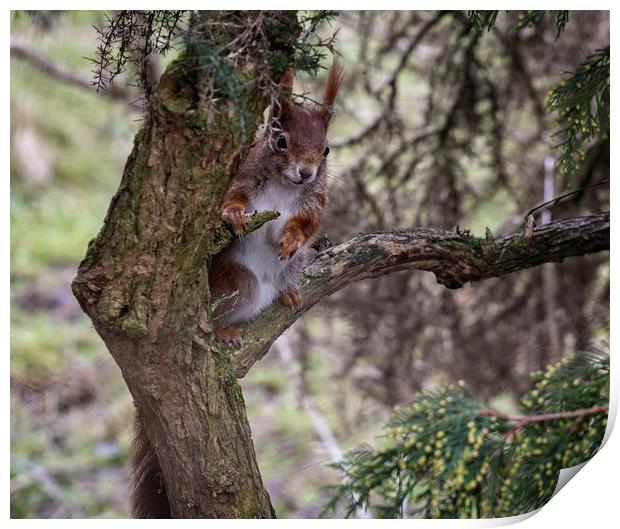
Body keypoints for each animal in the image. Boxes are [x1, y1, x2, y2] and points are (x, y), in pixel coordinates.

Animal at [208, 59, 344, 344]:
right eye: (281, 140)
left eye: (326, 150)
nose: (306, 172)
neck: (284, 186)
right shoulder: (243, 177)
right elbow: (232, 197)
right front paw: (234, 213)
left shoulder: (316, 200)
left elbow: (307, 224)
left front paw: (292, 238)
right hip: (235, 281)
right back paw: (223, 330)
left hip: (290, 269)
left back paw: (288, 292)